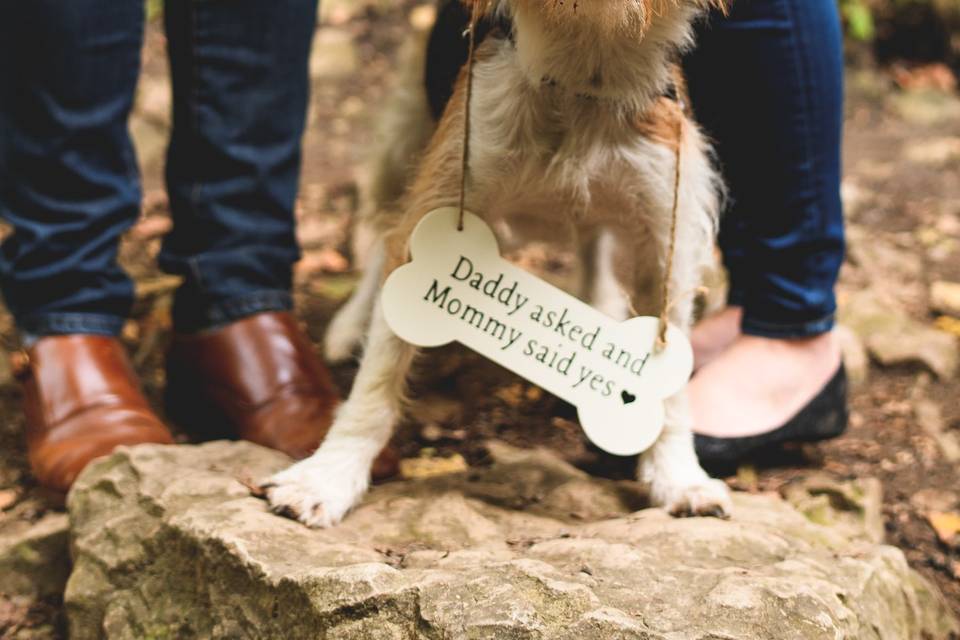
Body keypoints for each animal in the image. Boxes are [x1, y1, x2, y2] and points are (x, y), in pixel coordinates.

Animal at [262, 0, 736, 524]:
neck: (584, 68)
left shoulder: (666, 230)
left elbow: (667, 378)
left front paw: (678, 477)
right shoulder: (443, 195)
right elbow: (379, 374)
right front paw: (328, 475)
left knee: (594, 241)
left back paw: (602, 307)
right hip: (404, 140)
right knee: (383, 234)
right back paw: (349, 325)